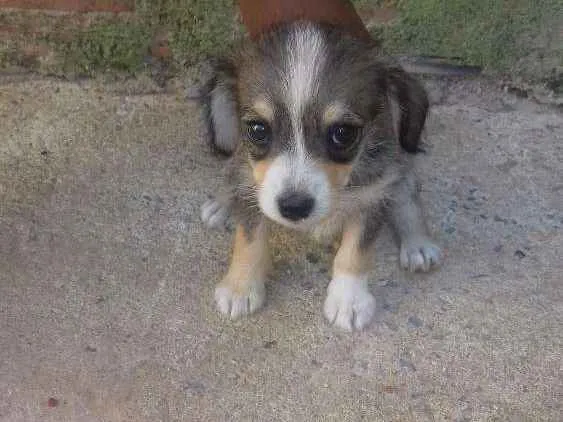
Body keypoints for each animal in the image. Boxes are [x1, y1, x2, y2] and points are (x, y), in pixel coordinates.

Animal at [198, 20, 440, 330]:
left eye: (344, 133)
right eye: (257, 129)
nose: (294, 207)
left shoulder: (373, 194)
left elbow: (355, 252)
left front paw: (349, 300)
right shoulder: (252, 182)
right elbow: (249, 238)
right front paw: (240, 287)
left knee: (406, 190)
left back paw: (417, 243)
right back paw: (222, 205)